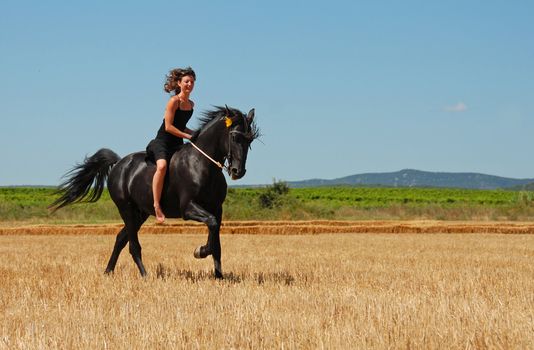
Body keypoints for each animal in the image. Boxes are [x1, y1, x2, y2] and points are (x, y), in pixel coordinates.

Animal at [51, 106, 260, 278]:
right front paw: (200, 251)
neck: (202, 164)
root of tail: (119, 163)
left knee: (120, 239)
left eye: (250, 140)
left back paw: (108, 272)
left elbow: (216, 238)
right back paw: (145, 275)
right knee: (133, 245)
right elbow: (212, 224)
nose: (238, 172)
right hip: (126, 208)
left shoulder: (217, 208)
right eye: (235, 137)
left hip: (140, 213)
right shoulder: (188, 208)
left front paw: (219, 276)